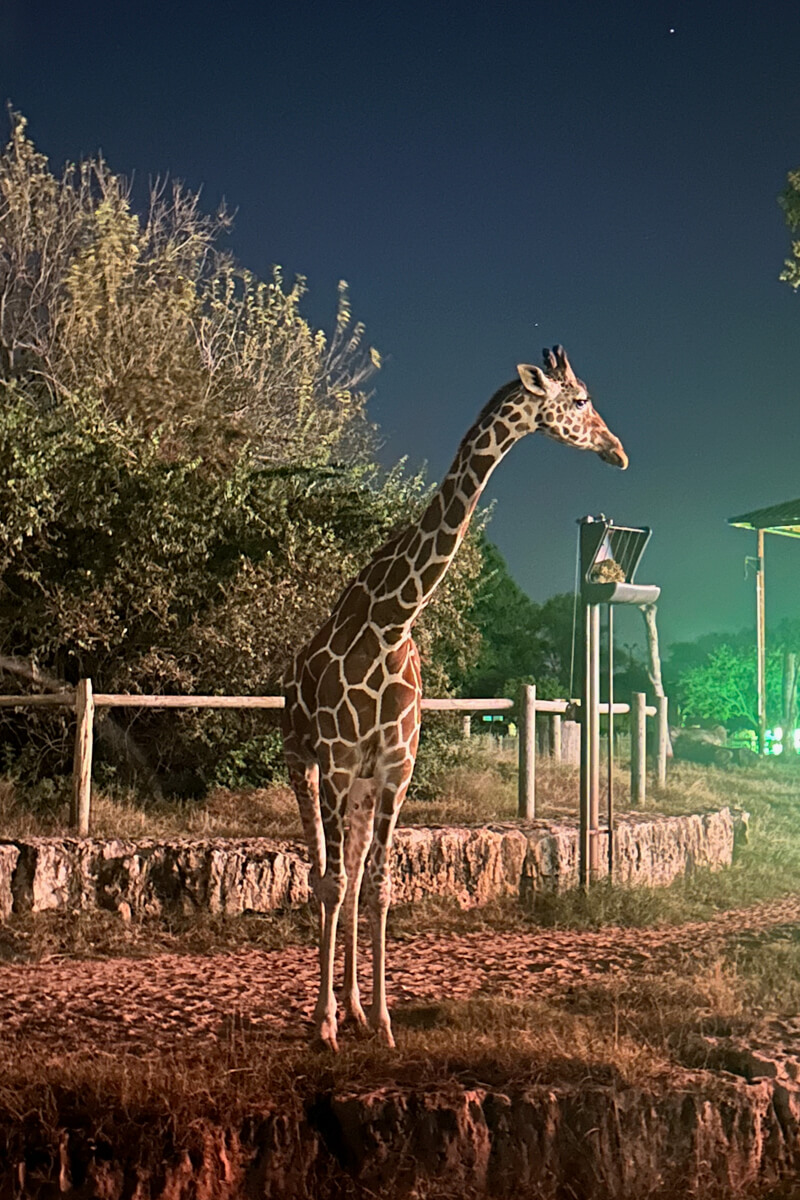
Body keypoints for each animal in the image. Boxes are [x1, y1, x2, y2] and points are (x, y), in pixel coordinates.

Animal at [282, 345, 628, 1051]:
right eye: (580, 400)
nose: (618, 451)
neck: (390, 623)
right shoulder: (335, 761)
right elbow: (333, 881)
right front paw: (325, 1026)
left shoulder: (395, 768)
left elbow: (380, 886)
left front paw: (381, 1022)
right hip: (303, 766)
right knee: (322, 874)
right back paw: (324, 1013)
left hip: (360, 787)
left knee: (352, 873)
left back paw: (354, 1007)